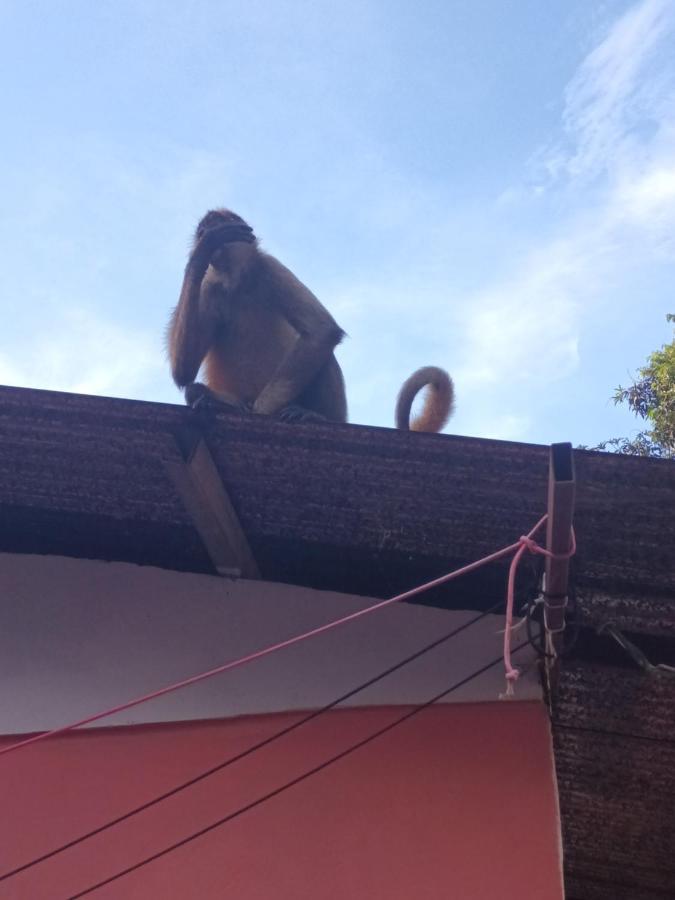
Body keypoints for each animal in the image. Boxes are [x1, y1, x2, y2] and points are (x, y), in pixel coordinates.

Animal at [168, 213, 454, 434]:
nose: (205, 233)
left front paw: (258, 413)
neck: (237, 282)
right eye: (203, 230)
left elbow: (322, 331)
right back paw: (216, 400)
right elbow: (183, 372)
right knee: (192, 389)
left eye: (219, 222)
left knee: (322, 351)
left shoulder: (268, 266)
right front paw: (202, 250)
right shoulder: (210, 286)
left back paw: (315, 416)